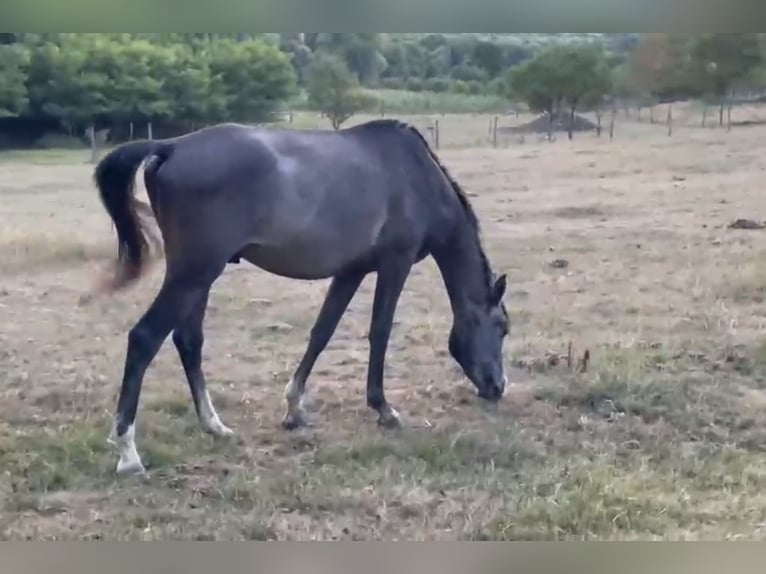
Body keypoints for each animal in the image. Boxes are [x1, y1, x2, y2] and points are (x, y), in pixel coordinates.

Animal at [91, 119, 511, 475]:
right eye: (502, 327)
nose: (497, 387)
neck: (416, 176)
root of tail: (170, 147)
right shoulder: (396, 263)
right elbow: (380, 331)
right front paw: (384, 409)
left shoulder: (351, 270)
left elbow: (322, 332)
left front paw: (294, 409)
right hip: (195, 272)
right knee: (145, 338)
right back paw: (128, 453)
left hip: (197, 276)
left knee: (188, 340)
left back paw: (213, 425)